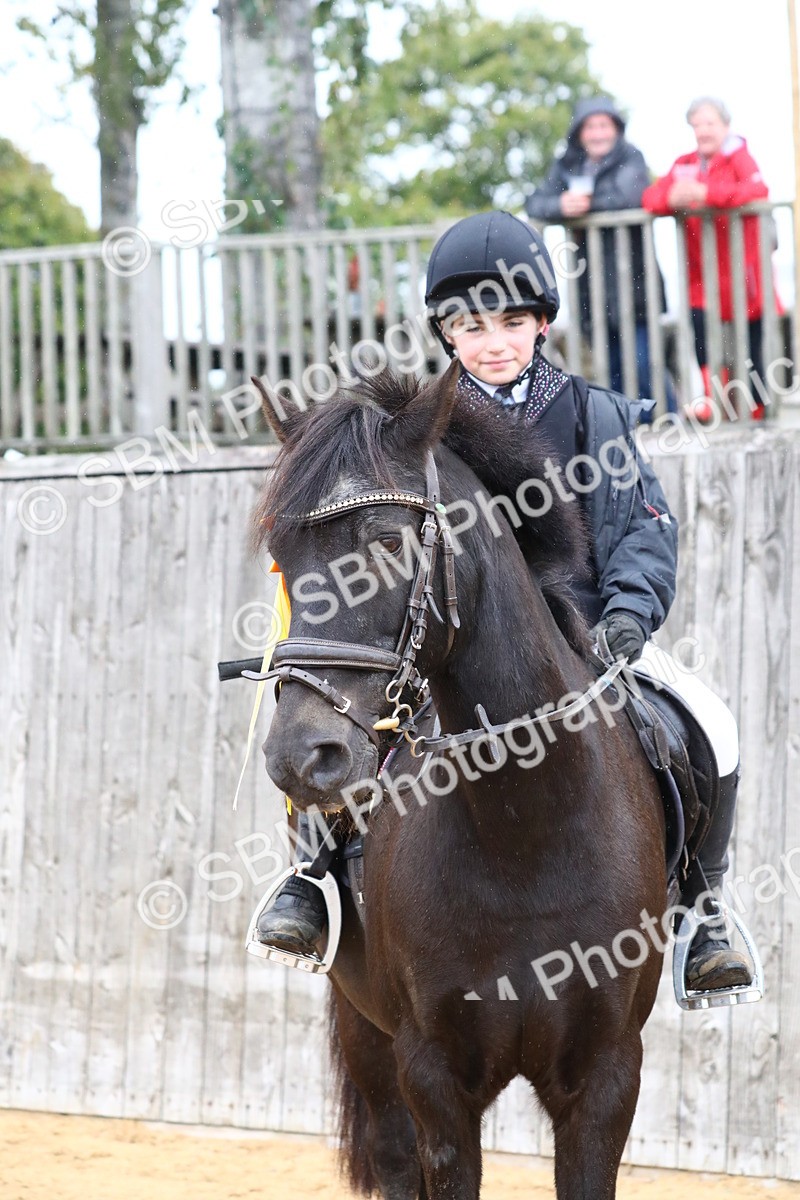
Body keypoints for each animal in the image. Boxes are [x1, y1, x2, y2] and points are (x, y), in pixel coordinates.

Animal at [250, 363, 667, 1199]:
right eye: (280, 554)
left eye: (386, 541)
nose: (301, 756)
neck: (526, 827)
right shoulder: (433, 1076)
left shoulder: (606, 1078)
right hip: (368, 1035)